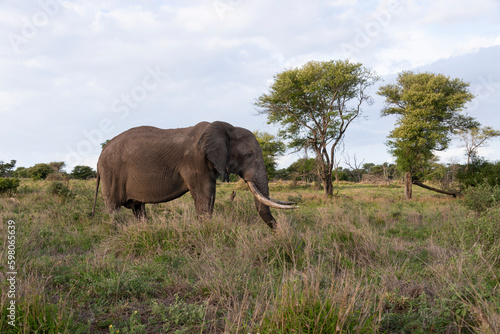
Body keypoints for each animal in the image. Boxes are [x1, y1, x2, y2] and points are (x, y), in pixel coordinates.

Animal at [91, 121, 294, 228]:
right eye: (249, 155)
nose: (277, 231)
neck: (225, 127)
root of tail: (101, 153)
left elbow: (209, 197)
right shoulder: (195, 161)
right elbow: (205, 196)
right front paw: (207, 231)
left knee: (138, 208)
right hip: (111, 172)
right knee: (113, 208)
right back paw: (116, 229)